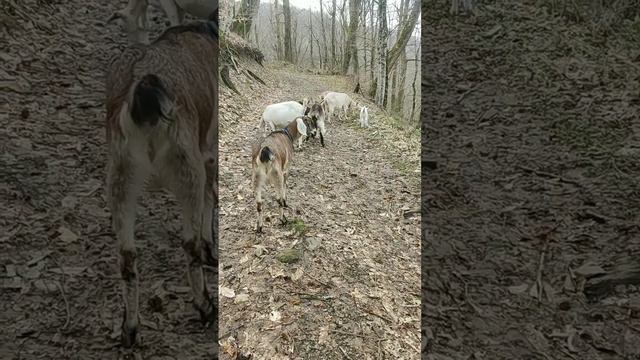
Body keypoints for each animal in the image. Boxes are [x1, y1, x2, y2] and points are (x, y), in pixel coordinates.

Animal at [103, 18, 218, 348]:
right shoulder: (208, 154)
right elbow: (211, 196)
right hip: (187, 169)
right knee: (190, 243)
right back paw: (205, 306)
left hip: (121, 176)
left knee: (126, 256)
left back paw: (130, 327)